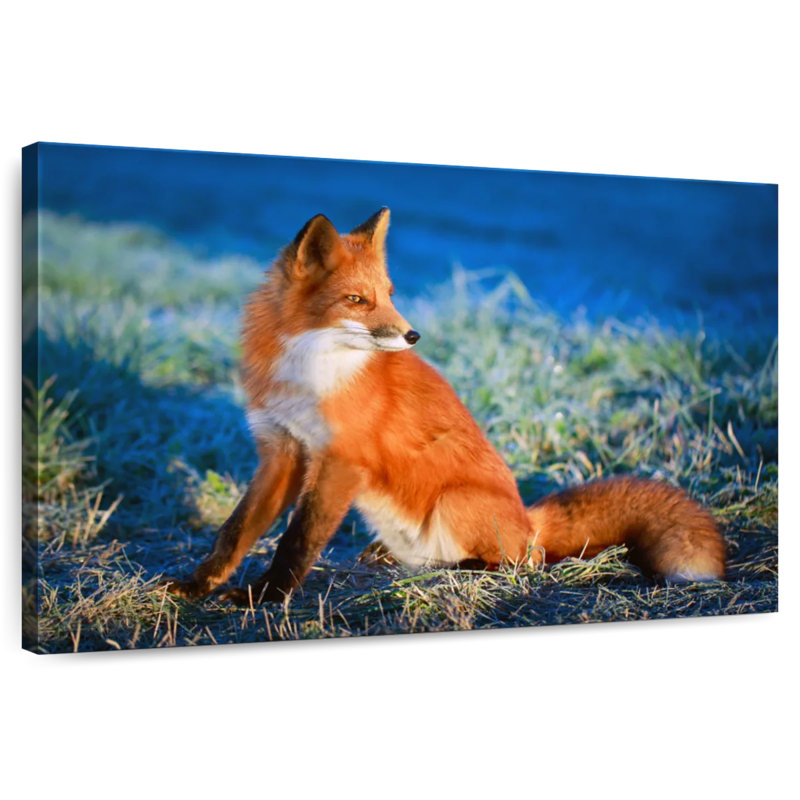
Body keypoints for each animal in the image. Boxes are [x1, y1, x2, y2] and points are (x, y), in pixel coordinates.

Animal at [166, 207, 726, 605]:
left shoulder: (340, 461)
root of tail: (529, 520)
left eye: (390, 294)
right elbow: (234, 532)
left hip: (454, 501)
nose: (413, 335)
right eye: (356, 300)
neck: (308, 371)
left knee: (523, 563)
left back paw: (461, 570)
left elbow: (297, 541)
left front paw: (264, 597)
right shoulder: (282, 452)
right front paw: (198, 586)